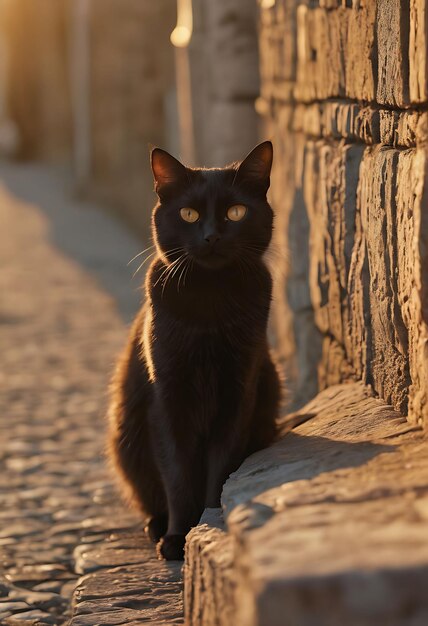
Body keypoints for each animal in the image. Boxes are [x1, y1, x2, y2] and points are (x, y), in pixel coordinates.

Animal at [107, 143, 282, 560]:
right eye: (189, 214)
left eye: (236, 212)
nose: (211, 237)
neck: (210, 301)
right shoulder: (168, 398)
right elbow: (177, 475)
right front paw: (176, 537)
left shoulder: (239, 391)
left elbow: (221, 466)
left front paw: (211, 521)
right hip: (126, 437)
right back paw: (156, 527)